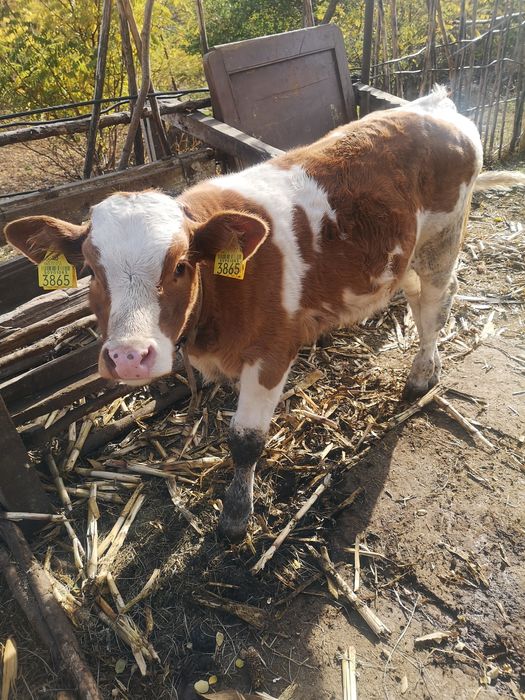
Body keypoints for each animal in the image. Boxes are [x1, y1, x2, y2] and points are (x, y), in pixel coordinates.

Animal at [5, 87, 524, 541]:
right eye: (91, 271)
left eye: (180, 265)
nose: (130, 357)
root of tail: (436, 105)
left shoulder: (273, 350)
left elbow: (246, 440)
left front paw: (236, 516)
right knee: (417, 299)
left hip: (443, 239)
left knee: (435, 306)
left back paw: (421, 375)